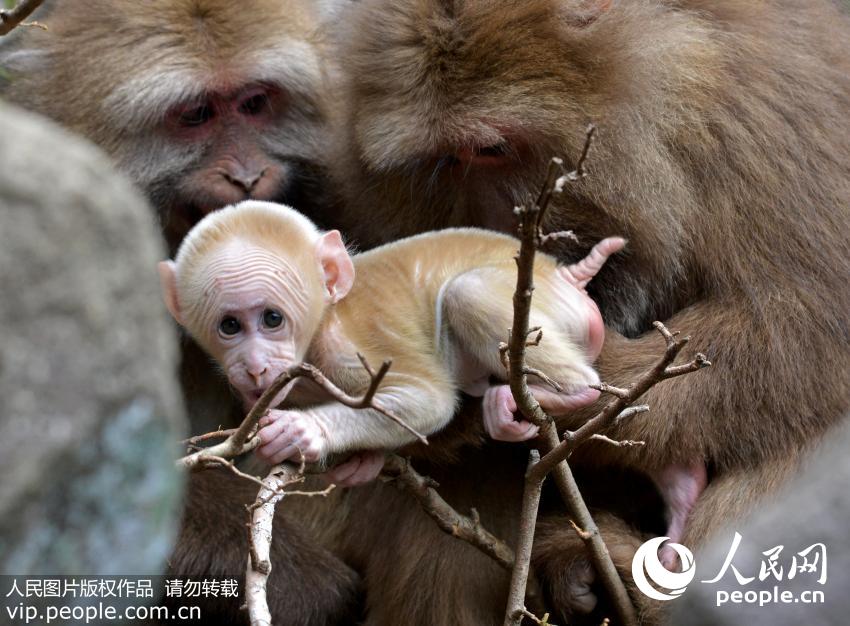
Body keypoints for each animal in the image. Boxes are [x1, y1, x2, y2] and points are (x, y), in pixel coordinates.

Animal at [159, 200, 624, 478]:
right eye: (230, 326)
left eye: (272, 319)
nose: (255, 367)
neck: (321, 324)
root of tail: (560, 274)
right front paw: (367, 459)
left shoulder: (348, 352)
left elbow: (430, 400)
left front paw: (304, 432)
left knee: (467, 292)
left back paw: (557, 394)